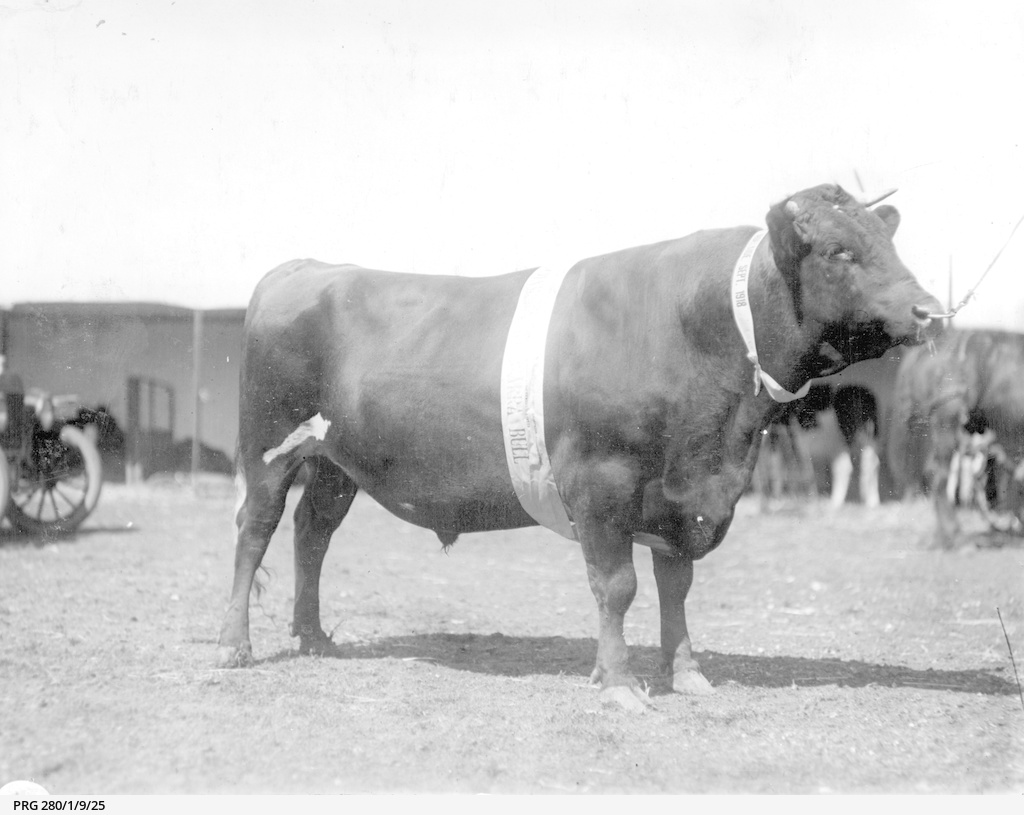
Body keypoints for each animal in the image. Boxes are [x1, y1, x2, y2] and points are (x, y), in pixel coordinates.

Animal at [216, 183, 942, 711]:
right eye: (840, 250)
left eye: (888, 240)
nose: (931, 309)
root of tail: (304, 267)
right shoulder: (600, 483)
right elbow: (617, 587)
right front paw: (618, 684)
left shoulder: (681, 497)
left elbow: (676, 587)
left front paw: (685, 673)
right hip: (268, 448)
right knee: (254, 531)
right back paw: (234, 647)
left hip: (335, 464)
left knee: (312, 534)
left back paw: (313, 638)